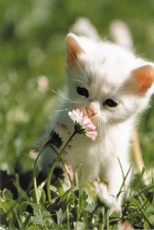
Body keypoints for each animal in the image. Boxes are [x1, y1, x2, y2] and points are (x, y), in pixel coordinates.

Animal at [40, 31, 154, 201]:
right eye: (82, 91)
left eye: (111, 103)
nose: (90, 110)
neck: (95, 136)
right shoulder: (61, 155)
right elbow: (61, 179)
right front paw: (61, 200)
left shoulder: (114, 162)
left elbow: (114, 184)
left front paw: (111, 205)